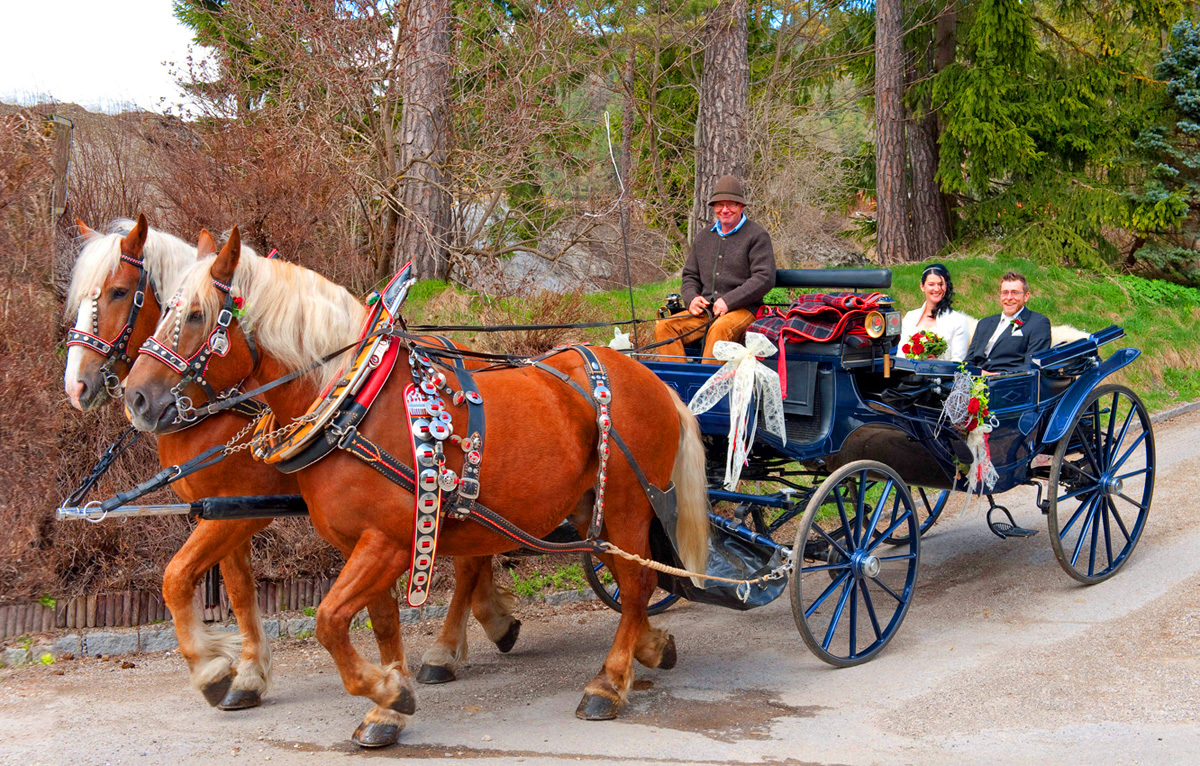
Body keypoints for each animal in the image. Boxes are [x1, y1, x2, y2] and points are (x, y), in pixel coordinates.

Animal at [62, 216, 520, 715]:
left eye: (119, 292)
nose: (77, 386)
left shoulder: (241, 510)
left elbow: (177, 576)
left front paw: (213, 669)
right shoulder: (226, 510)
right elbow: (239, 590)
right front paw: (247, 673)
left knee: (470, 561)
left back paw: (445, 649)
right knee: (478, 551)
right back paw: (493, 621)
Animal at [126, 229, 705, 749]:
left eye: (196, 315)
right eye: (161, 308)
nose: (136, 398)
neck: (352, 400)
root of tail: (649, 376)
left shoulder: (384, 540)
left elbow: (329, 621)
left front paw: (385, 691)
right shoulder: (360, 543)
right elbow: (379, 623)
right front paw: (387, 705)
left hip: (628, 505)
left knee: (636, 583)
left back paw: (607, 683)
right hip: (590, 510)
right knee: (630, 578)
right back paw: (648, 648)